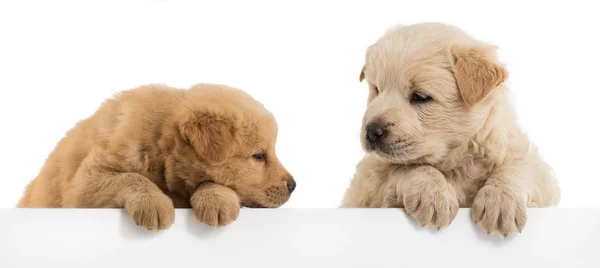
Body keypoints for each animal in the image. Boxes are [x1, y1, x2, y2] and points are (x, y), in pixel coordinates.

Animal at [15, 83, 292, 230]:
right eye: (259, 156)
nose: (294, 185)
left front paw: (216, 199)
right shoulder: (84, 182)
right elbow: (131, 178)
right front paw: (154, 204)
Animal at [342, 23, 564, 237]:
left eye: (420, 97)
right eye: (376, 90)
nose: (372, 131)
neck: (457, 162)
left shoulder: (536, 168)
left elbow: (518, 167)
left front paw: (501, 204)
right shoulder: (368, 181)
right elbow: (407, 167)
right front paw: (432, 195)